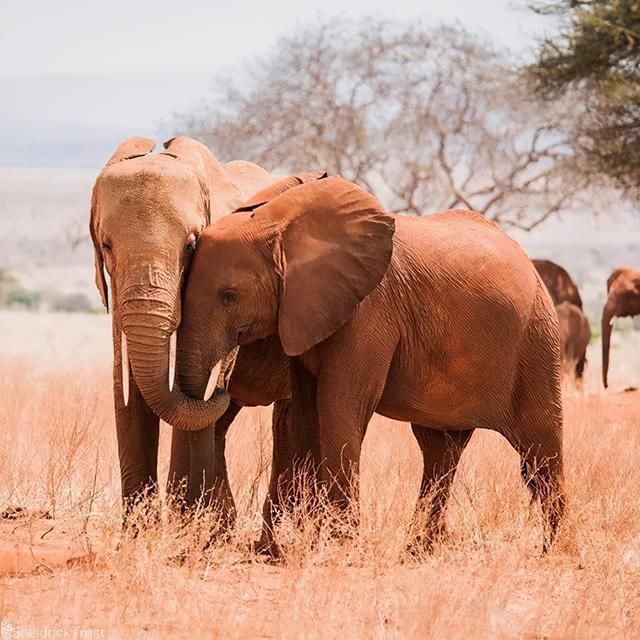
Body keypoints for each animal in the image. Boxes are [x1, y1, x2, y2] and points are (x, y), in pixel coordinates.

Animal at [88, 134, 308, 516]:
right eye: (107, 246)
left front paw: (179, 524)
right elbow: (129, 380)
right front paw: (140, 529)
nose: (223, 389)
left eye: (191, 246)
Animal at [149, 176, 564, 556]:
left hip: (536, 341)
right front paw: (281, 550)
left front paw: (339, 547)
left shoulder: (369, 310)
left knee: (539, 447)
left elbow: (340, 405)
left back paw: (552, 551)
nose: (221, 385)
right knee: (440, 450)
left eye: (229, 296)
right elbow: (305, 414)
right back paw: (417, 551)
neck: (280, 226)